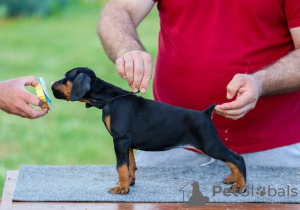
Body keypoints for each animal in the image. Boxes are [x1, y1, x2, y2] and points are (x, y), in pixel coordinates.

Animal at [51, 67, 246, 194]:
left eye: (64, 78)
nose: (52, 85)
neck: (109, 98)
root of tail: (205, 113)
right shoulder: (127, 143)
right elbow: (129, 164)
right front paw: (129, 183)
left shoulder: (120, 140)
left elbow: (120, 165)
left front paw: (121, 188)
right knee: (233, 157)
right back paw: (233, 179)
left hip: (208, 143)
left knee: (237, 158)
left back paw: (241, 185)